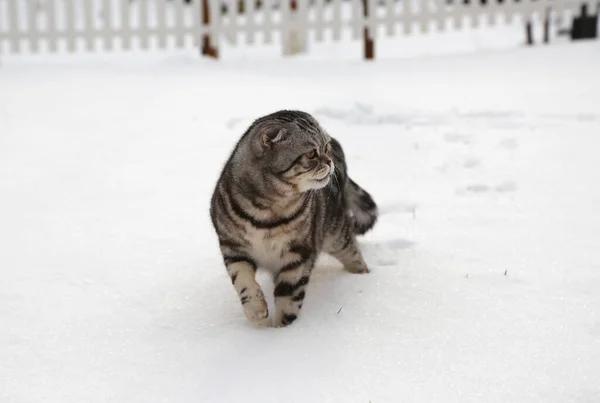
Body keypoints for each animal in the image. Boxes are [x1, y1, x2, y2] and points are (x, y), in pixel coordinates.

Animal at [211, 110, 378, 328]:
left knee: (355, 256)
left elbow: (289, 297)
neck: (266, 214)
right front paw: (256, 311)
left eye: (325, 147)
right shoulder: (232, 247)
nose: (329, 161)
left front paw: (284, 331)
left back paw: (361, 277)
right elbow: (243, 280)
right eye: (311, 154)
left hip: (337, 233)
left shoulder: (298, 254)